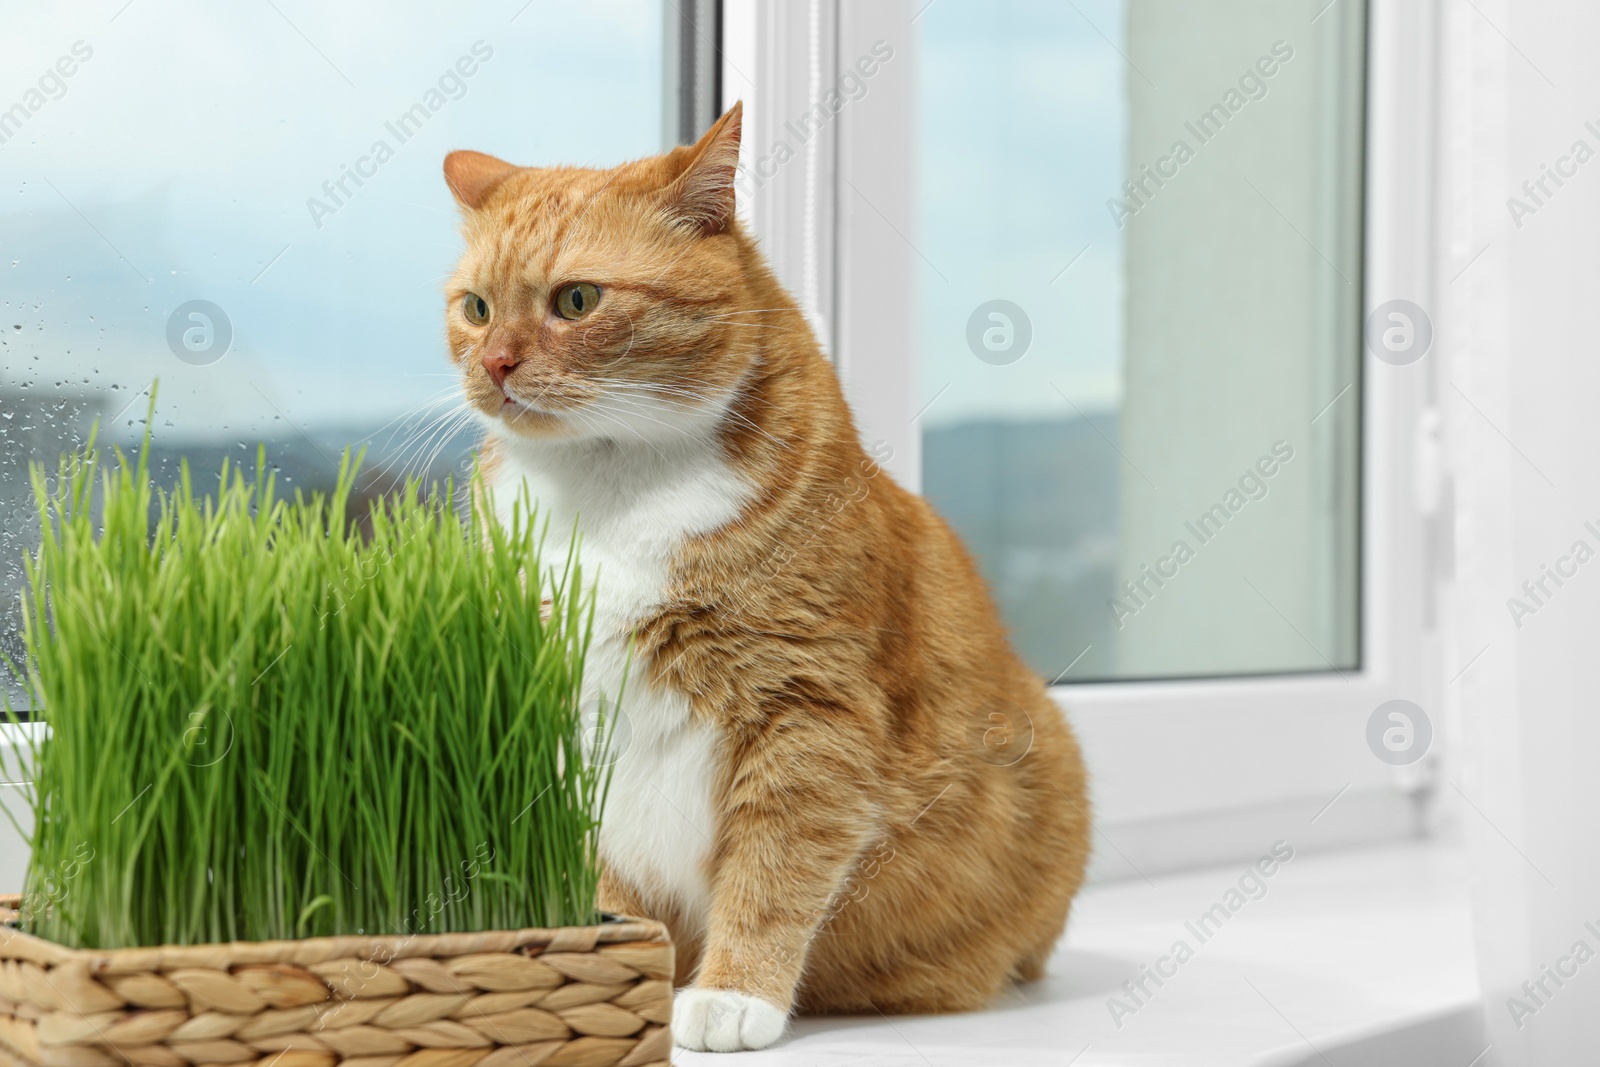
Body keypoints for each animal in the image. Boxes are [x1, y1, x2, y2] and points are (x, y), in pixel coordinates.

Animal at [441, 103, 1088, 1055]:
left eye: (577, 300)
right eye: (476, 308)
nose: (493, 365)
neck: (608, 498)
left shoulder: (807, 712)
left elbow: (774, 867)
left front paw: (731, 992)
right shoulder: (560, 717)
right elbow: (612, 884)